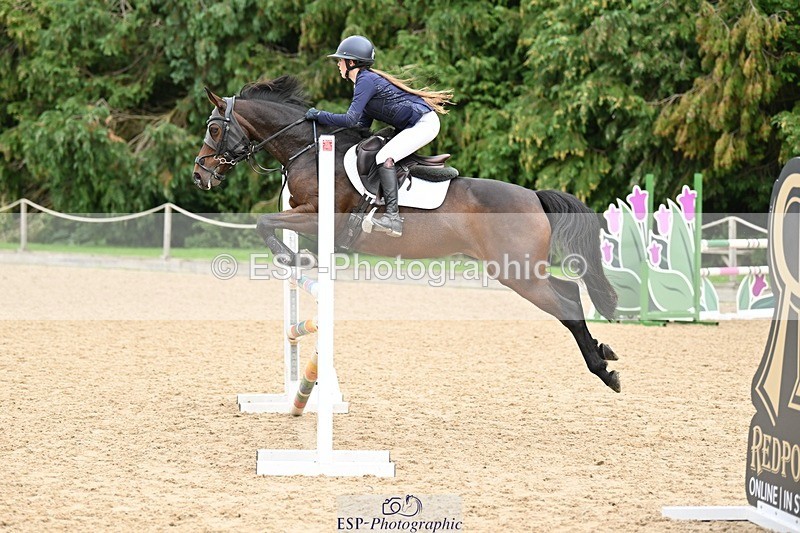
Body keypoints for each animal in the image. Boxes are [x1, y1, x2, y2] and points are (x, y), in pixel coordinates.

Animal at [192, 75, 622, 392]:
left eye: (213, 128)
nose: (199, 174)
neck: (308, 151)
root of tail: (533, 196)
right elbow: (268, 222)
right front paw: (296, 257)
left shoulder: (318, 218)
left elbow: (264, 222)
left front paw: (293, 257)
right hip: (523, 270)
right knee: (569, 293)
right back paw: (604, 356)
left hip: (517, 272)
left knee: (566, 305)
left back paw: (603, 370)